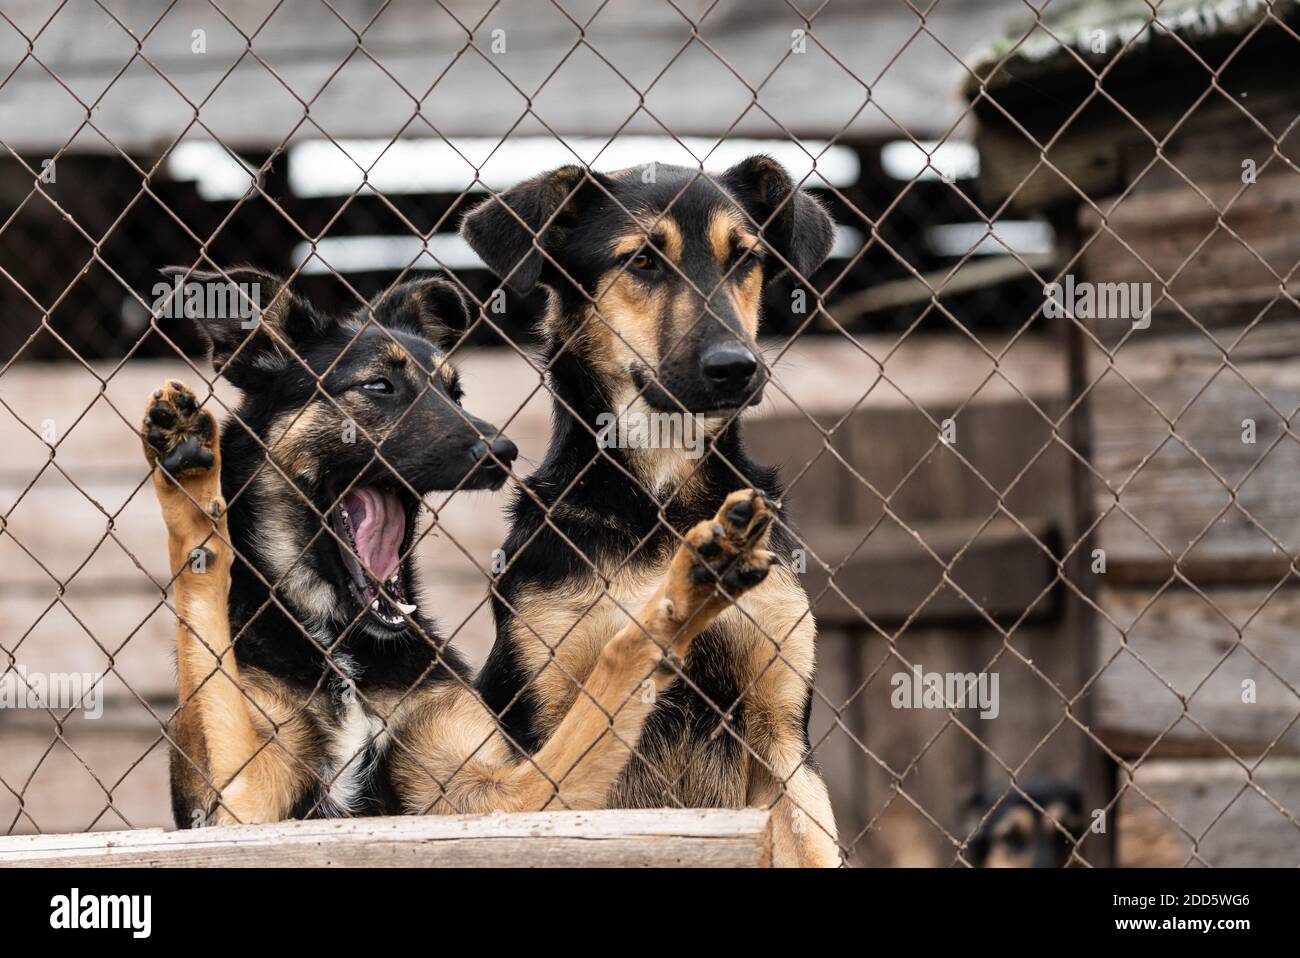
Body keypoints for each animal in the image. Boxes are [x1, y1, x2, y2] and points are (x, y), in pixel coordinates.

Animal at [141, 265, 774, 826]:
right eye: (379, 385)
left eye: (454, 390)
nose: (502, 452)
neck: (341, 645)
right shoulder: (246, 801)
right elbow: (204, 610)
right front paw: (188, 486)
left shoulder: (491, 791)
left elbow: (613, 671)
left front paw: (688, 589)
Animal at [465, 153, 842, 863]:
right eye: (642, 260)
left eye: (744, 258)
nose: (736, 367)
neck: (660, 504)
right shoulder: (551, 735)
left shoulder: (783, 743)